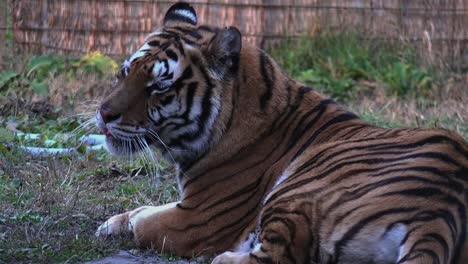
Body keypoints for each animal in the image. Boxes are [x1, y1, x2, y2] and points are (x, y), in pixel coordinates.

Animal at [94, 2, 468, 264]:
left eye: (159, 86)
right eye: (125, 72)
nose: (104, 113)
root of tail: (441, 210)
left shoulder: (196, 220)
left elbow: (145, 222)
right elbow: (142, 210)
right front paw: (110, 224)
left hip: (295, 188)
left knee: (279, 254)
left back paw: (225, 258)